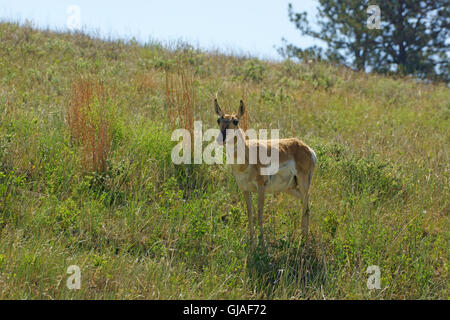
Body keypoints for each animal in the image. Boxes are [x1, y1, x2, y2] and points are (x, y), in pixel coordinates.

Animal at [214, 99, 316, 248]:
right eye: (218, 119)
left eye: (236, 121)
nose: (220, 138)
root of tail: (307, 148)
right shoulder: (245, 189)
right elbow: (250, 214)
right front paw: (252, 241)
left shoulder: (261, 187)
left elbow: (260, 214)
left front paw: (261, 243)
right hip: (290, 188)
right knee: (306, 203)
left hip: (303, 185)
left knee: (307, 206)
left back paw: (304, 239)